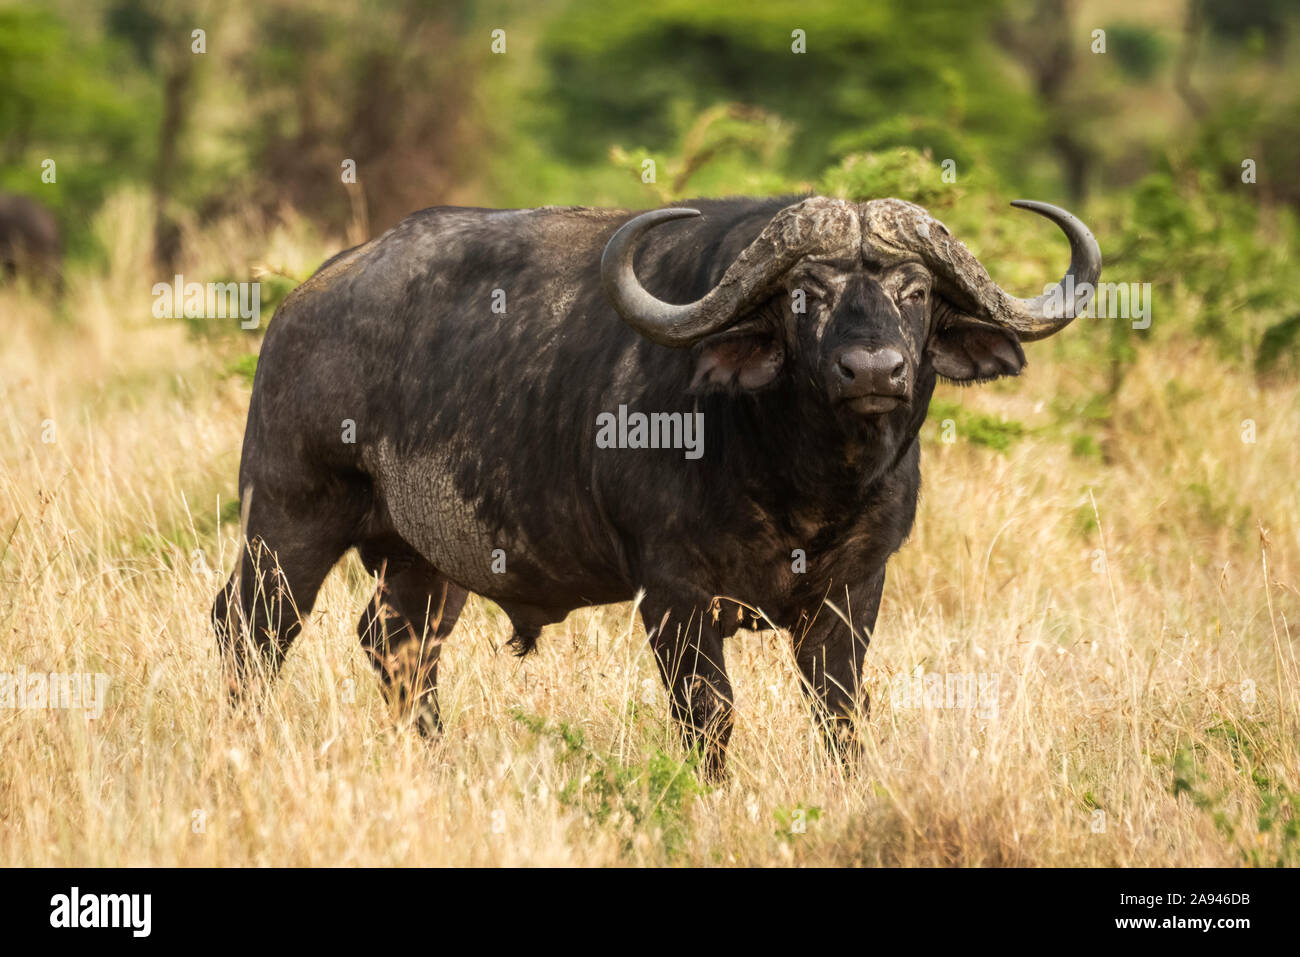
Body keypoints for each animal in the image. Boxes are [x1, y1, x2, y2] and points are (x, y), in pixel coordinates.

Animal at [213, 194, 1100, 779]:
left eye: (914, 292)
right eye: (804, 295)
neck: (801, 477)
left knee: (396, 643)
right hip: (288, 521)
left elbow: (840, 711)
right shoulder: (672, 591)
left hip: (423, 558)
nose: (874, 370)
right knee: (251, 630)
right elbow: (709, 712)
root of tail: (301, 306)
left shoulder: (856, 586)